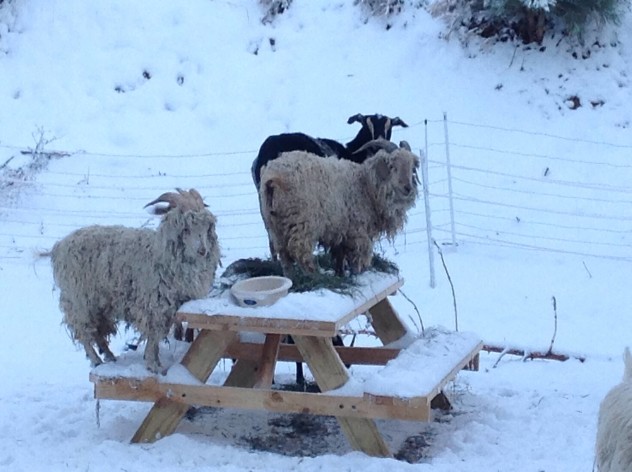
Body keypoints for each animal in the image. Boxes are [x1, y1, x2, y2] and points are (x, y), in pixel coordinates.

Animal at [51, 187, 220, 372]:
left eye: (207, 227)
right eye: (186, 228)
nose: (202, 251)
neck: (159, 254)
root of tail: (60, 245)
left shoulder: (170, 309)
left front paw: (156, 363)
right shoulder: (153, 308)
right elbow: (153, 337)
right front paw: (153, 366)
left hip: (99, 304)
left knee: (98, 332)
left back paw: (109, 356)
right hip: (79, 301)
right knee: (84, 332)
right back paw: (96, 360)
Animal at [258, 140, 420, 278]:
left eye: (412, 167)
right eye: (392, 166)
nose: (408, 188)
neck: (364, 185)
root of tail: (272, 179)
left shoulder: (340, 231)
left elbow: (340, 256)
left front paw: (340, 274)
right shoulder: (357, 232)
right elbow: (358, 258)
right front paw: (357, 274)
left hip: (274, 225)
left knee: (284, 255)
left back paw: (292, 278)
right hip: (302, 222)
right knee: (299, 252)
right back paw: (315, 276)